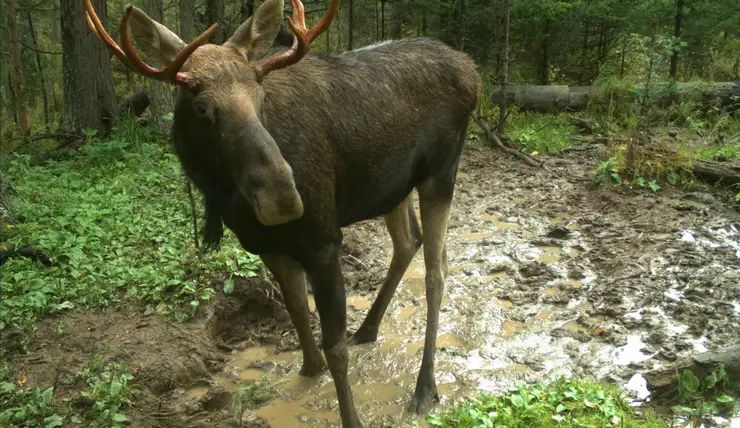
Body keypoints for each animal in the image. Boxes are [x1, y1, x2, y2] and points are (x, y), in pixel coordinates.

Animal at [85, 0, 480, 426]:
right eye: (202, 106)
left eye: (260, 97)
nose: (283, 198)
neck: (228, 202)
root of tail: (472, 70)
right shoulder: (267, 246)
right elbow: (297, 312)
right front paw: (308, 371)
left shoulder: (324, 241)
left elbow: (334, 347)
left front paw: (351, 415)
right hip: (393, 186)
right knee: (409, 242)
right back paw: (369, 328)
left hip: (441, 173)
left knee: (437, 271)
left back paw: (424, 386)